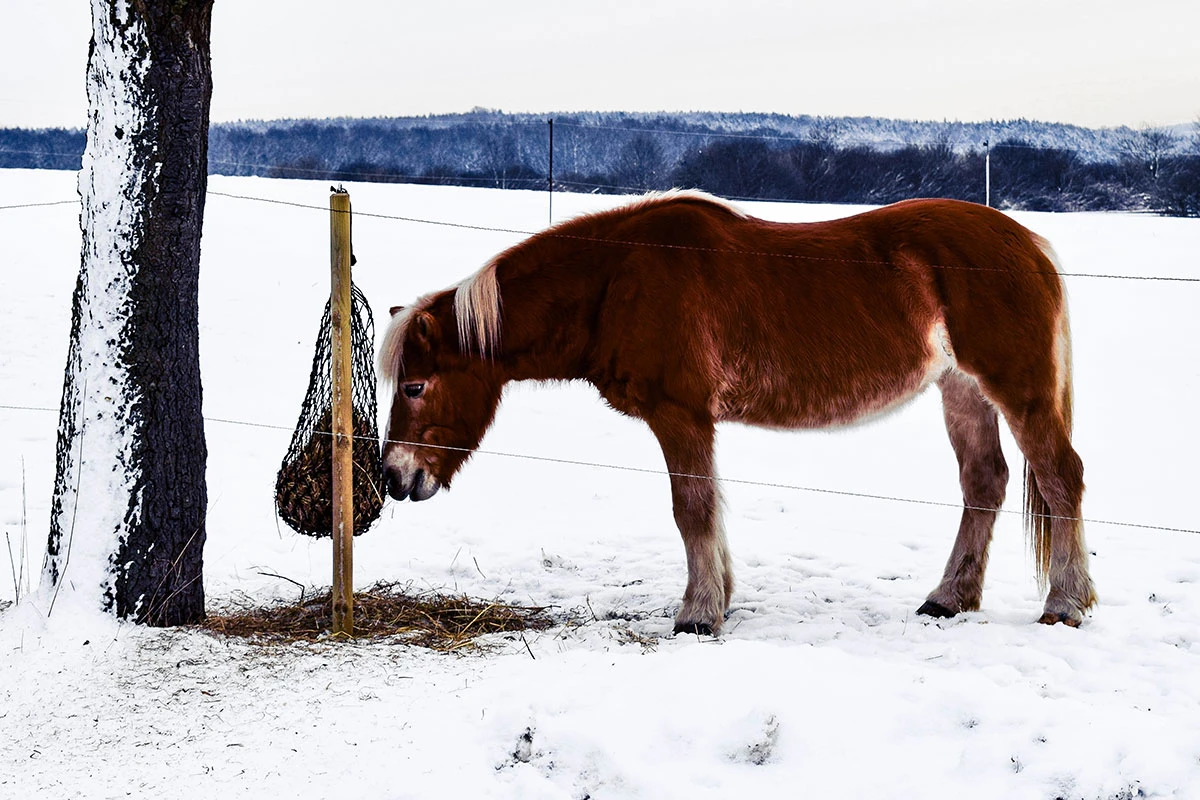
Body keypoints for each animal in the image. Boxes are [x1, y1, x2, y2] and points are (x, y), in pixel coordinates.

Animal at [379, 190, 1096, 634]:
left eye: (414, 386)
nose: (394, 477)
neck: (618, 279)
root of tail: (1027, 242)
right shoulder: (695, 421)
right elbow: (710, 509)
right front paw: (719, 597)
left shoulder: (679, 414)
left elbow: (691, 509)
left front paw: (698, 615)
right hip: (962, 390)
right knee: (985, 483)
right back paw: (949, 599)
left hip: (1016, 388)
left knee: (1061, 477)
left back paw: (1064, 605)